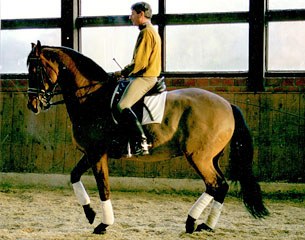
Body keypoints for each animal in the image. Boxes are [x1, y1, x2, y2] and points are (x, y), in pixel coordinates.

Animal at [26, 40, 268, 234]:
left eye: (36, 69)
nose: (33, 105)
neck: (92, 97)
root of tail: (228, 105)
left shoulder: (97, 154)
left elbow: (104, 187)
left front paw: (104, 224)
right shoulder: (91, 153)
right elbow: (74, 176)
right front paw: (90, 214)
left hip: (199, 157)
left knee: (214, 184)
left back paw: (191, 221)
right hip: (212, 157)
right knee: (222, 185)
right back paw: (206, 225)